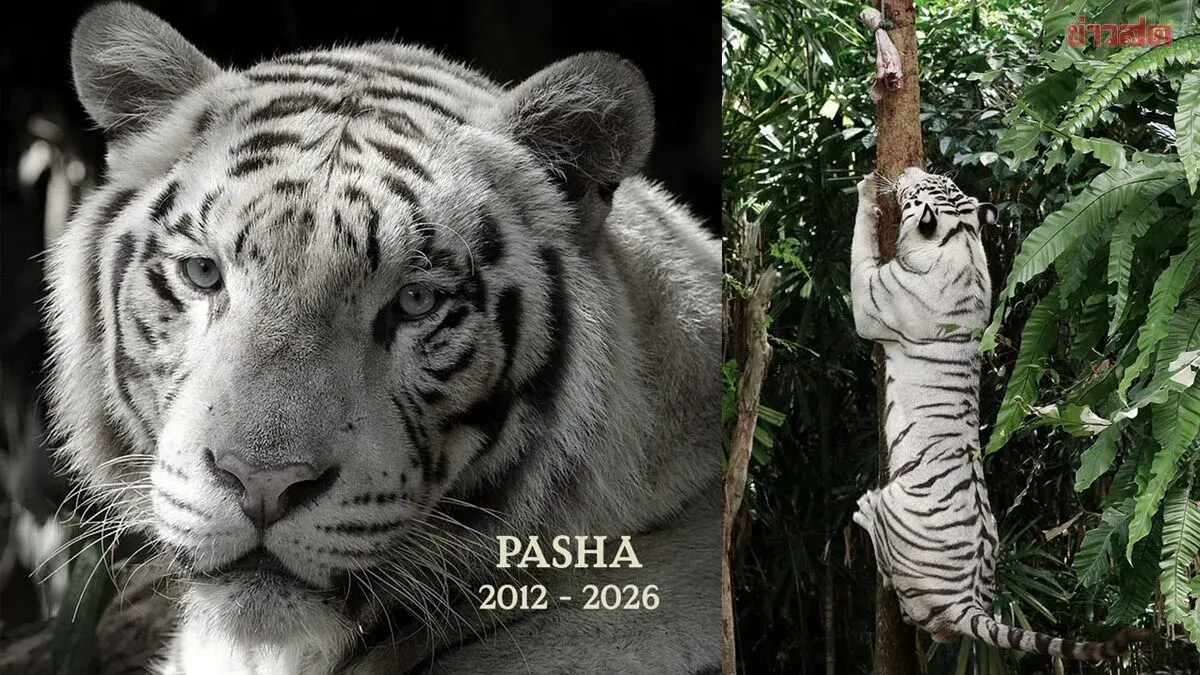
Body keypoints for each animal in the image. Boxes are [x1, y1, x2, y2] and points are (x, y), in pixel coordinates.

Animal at [848, 168, 1149, 661]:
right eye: (936, 176)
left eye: (918, 188)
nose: (908, 171)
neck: (961, 237)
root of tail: (967, 601)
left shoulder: (870, 299)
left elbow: (859, 250)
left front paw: (866, 189)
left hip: (895, 503)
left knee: (895, 577)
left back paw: (865, 511)